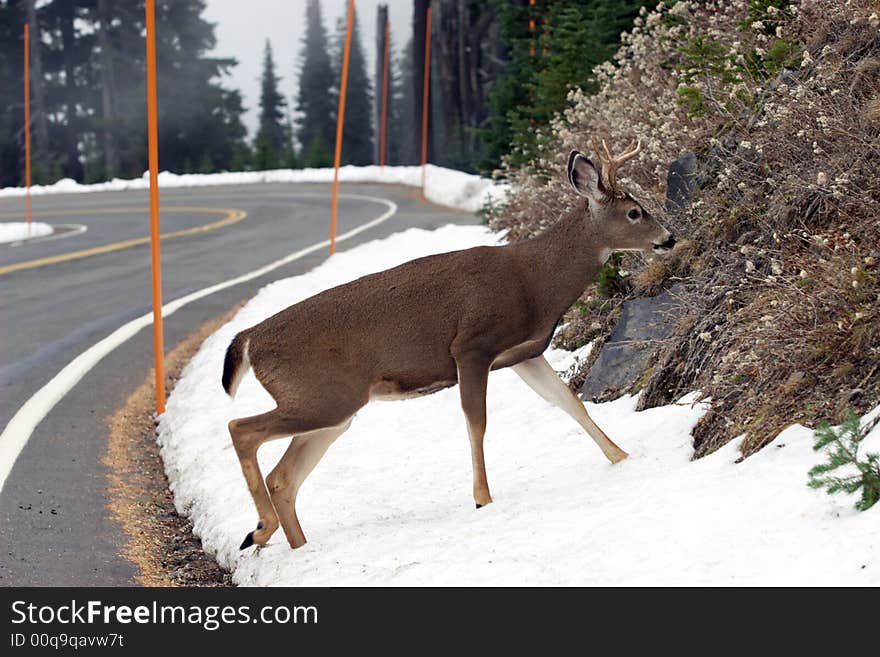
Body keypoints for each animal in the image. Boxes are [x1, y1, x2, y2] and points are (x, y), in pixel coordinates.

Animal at [222, 138, 672, 548]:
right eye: (634, 212)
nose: (668, 238)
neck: (535, 282)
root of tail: (249, 339)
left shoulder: (523, 353)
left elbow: (569, 401)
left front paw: (621, 456)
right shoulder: (472, 345)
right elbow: (477, 421)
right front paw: (482, 498)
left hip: (332, 406)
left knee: (282, 477)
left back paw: (284, 541)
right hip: (322, 396)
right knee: (241, 429)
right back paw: (261, 528)